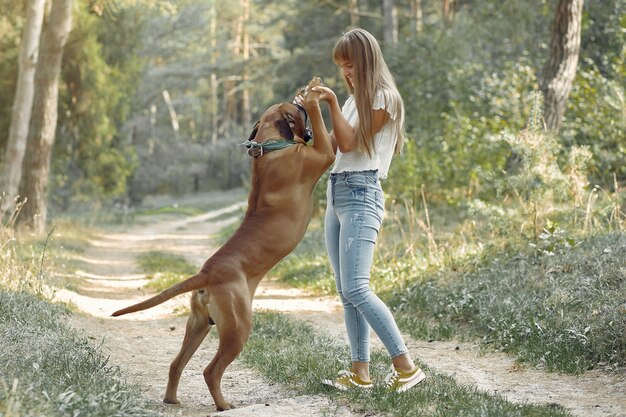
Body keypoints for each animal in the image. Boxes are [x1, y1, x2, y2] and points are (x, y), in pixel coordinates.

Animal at [112, 77, 336, 410]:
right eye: (296, 111)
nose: (298, 99)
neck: (268, 148)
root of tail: (206, 273)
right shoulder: (323, 153)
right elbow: (325, 132)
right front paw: (315, 96)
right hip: (237, 329)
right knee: (210, 370)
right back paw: (223, 405)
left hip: (198, 325)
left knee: (176, 364)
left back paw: (171, 399)